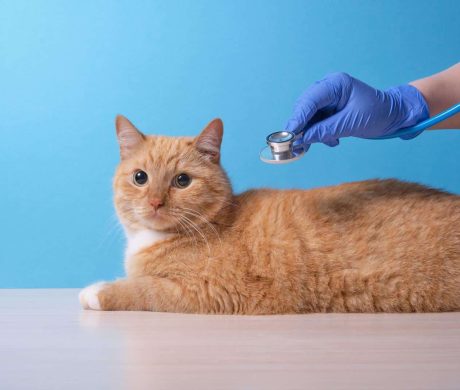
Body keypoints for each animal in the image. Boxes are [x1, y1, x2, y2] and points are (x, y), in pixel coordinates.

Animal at [79, 116, 460, 314]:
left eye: (182, 181)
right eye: (140, 178)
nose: (156, 202)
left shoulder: (207, 291)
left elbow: (140, 289)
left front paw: (96, 291)